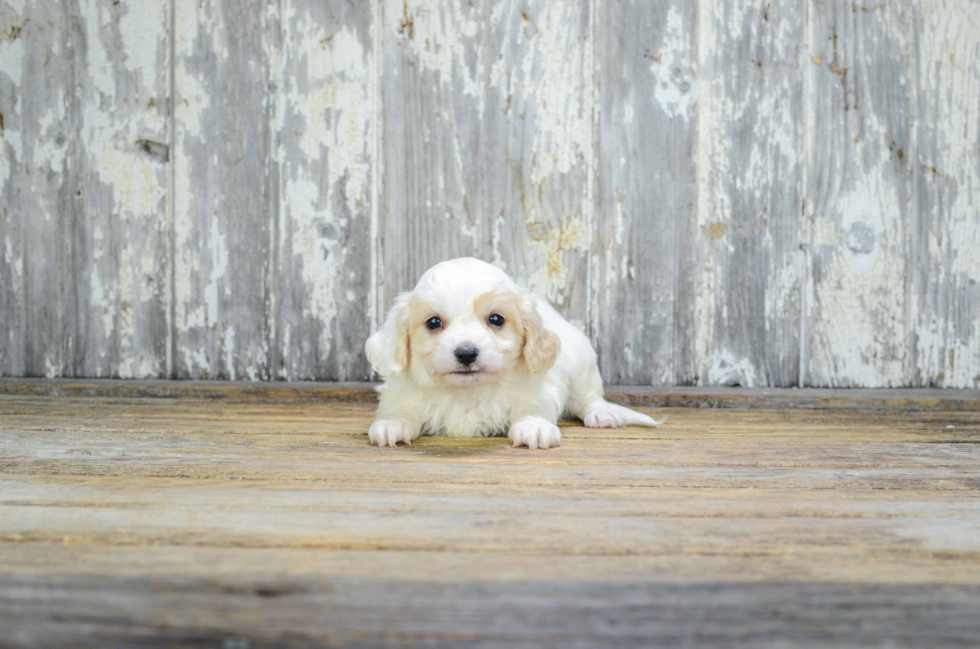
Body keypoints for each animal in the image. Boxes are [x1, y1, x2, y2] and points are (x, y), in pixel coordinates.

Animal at [366, 256, 668, 448]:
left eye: (496, 319)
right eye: (433, 323)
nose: (466, 352)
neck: (467, 393)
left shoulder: (540, 388)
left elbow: (532, 406)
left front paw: (533, 426)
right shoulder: (399, 389)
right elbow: (398, 407)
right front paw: (392, 424)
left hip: (582, 364)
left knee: (589, 397)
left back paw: (602, 415)